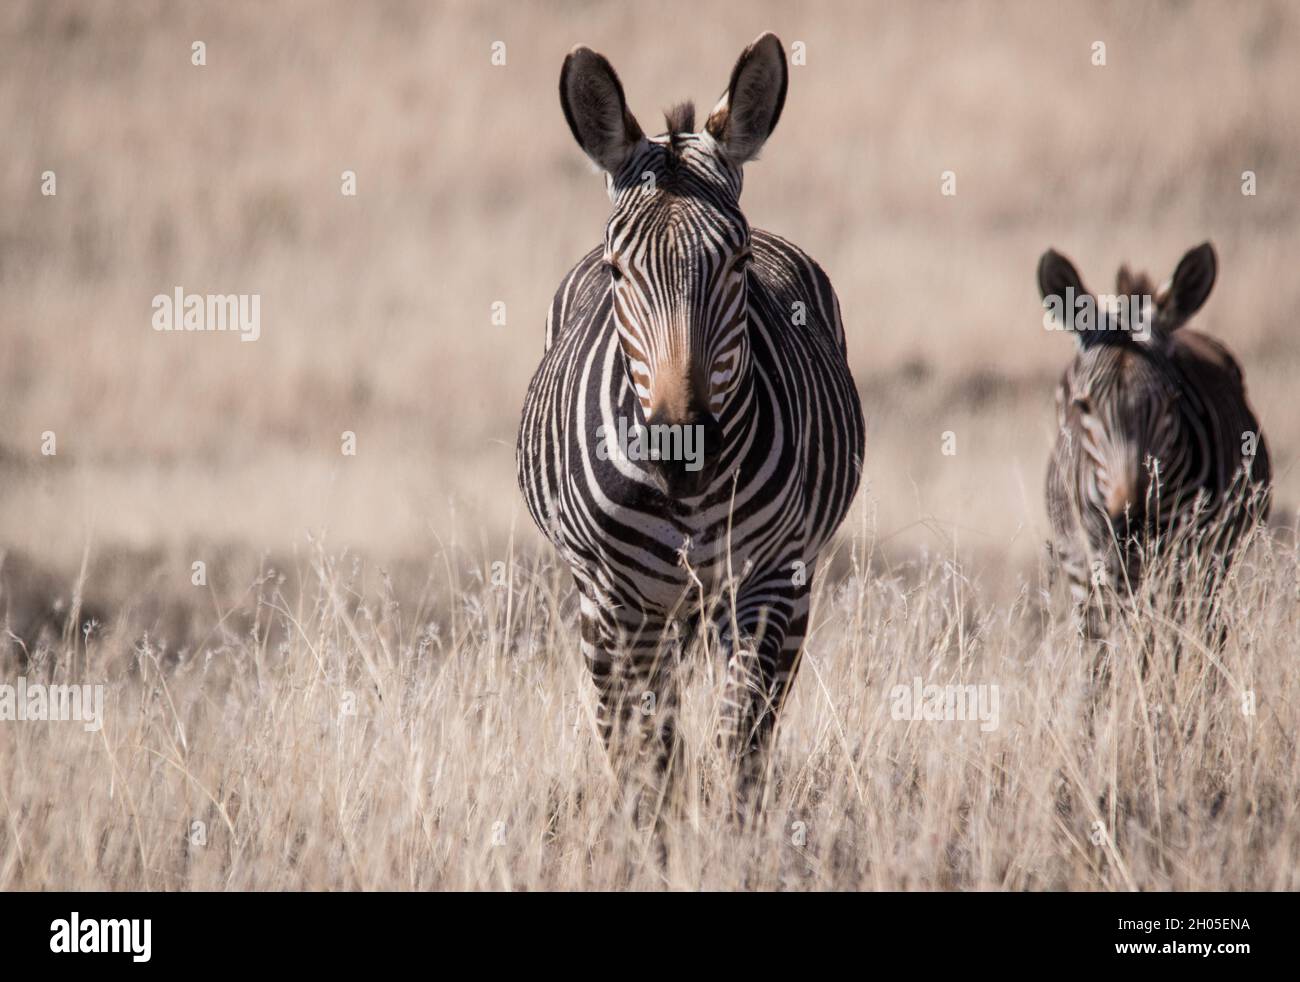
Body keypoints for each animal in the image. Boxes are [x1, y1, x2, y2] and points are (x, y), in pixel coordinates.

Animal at [517, 33, 864, 801]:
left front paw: (736, 829)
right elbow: (651, 756)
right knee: (620, 725)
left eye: (736, 261)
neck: (690, 498)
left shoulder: (766, 583)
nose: (684, 447)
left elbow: (740, 743)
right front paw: (658, 828)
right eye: (618, 271)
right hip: (606, 604)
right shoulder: (625, 601)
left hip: (787, 585)